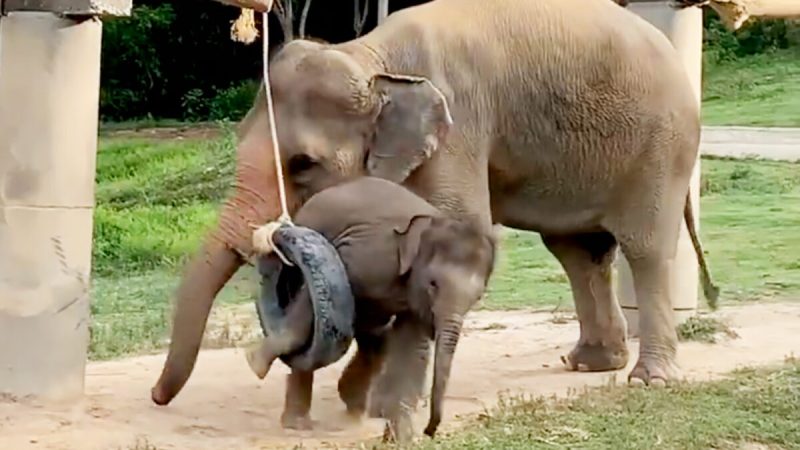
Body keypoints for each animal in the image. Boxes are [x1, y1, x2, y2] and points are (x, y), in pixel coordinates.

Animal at [151, 0, 719, 412]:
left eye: (302, 164)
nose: (156, 398)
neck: (371, 58)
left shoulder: (458, 128)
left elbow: (454, 229)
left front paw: (379, 402)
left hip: (660, 145)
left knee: (644, 247)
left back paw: (650, 380)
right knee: (579, 252)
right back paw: (590, 363)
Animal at [244, 176, 497, 439]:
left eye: (477, 297)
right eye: (433, 284)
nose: (429, 431)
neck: (427, 224)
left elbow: (411, 343)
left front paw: (400, 438)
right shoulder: (362, 256)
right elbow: (313, 305)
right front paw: (255, 363)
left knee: (374, 341)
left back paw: (353, 409)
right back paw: (298, 424)